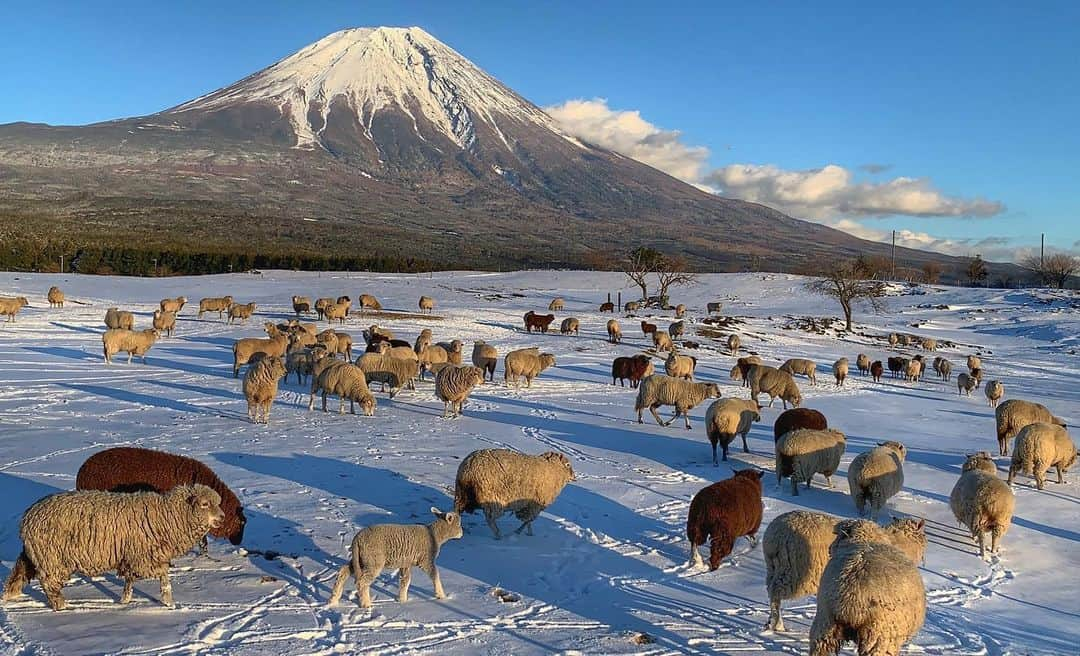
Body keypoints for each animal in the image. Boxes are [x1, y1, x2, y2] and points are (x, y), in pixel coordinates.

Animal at [0, 484, 223, 613]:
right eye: (204, 504)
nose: (222, 518)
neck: (166, 515)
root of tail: (28, 517)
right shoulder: (144, 556)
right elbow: (163, 575)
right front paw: (169, 602)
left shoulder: (132, 556)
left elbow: (130, 580)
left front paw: (124, 601)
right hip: (53, 558)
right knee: (49, 584)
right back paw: (62, 607)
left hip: (35, 555)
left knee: (18, 575)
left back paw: (8, 597)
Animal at [328, 507, 464, 609]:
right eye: (458, 524)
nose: (462, 534)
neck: (435, 535)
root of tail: (357, 538)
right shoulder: (426, 560)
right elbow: (435, 575)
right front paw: (442, 596)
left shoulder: (406, 562)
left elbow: (405, 581)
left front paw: (402, 600)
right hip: (373, 560)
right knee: (362, 582)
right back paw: (366, 604)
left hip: (361, 559)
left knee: (343, 571)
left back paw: (333, 600)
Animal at [760, 510, 928, 635]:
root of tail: (774, 535)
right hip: (796, 570)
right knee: (776, 591)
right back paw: (778, 624)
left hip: (774, 567)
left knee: (770, 589)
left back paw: (769, 622)